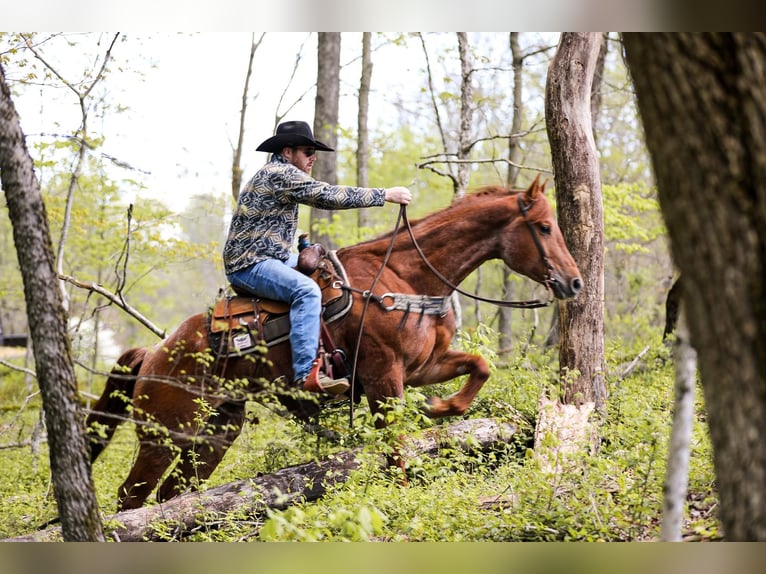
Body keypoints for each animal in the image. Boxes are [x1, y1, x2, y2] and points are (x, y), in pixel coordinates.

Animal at [87, 173, 584, 510]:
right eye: (543, 226)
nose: (575, 282)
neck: (404, 277)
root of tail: (153, 354)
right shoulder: (384, 379)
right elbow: (395, 447)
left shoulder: (425, 366)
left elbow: (480, 366)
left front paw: (443, 407)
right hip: (163, 435)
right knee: (131, 499)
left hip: (215, 433)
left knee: (174, 496)